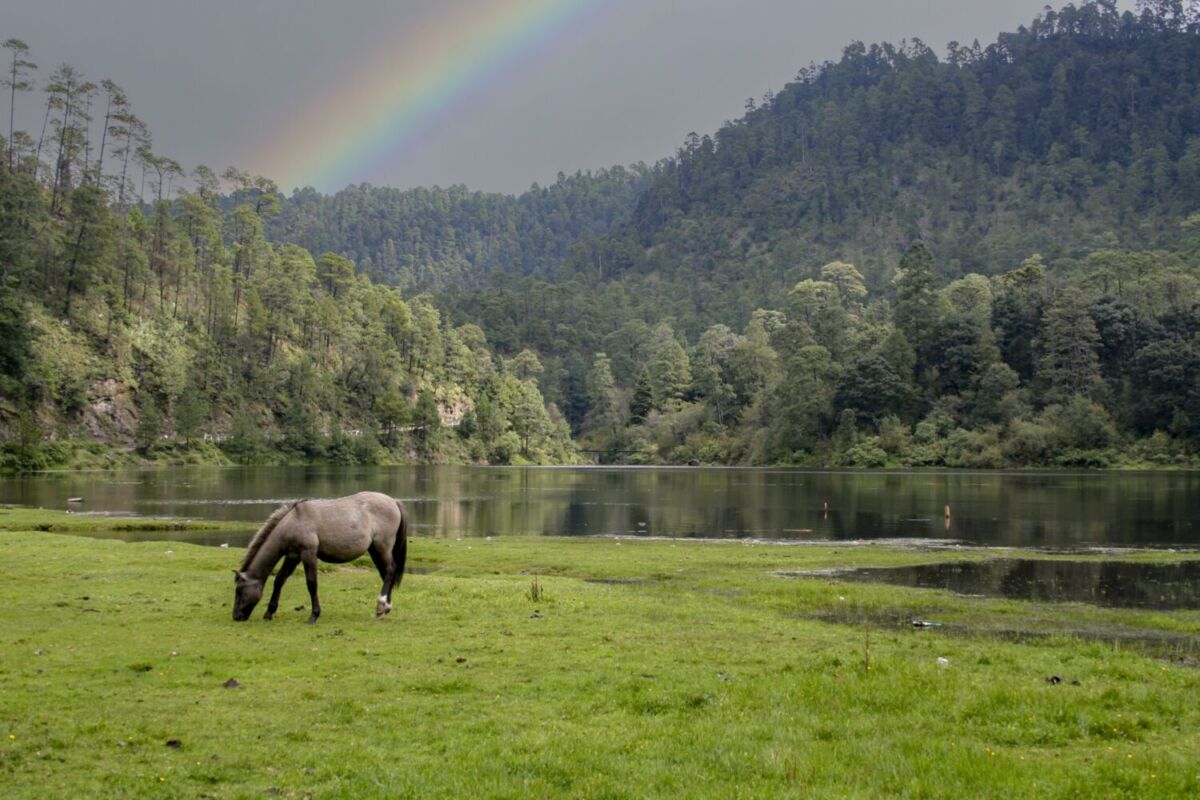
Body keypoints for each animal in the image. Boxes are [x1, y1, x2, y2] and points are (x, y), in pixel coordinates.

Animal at [232, 491, 408, 624]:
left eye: (239, 591)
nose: (236, 616)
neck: (293, 522)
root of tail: (393, 501)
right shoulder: (293, 556)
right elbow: (280, 580)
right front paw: (269, 612)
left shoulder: (308, 553)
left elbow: (311, 584)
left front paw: (314, 615)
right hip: (374, 549)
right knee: (386, 574)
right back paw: (385, 608)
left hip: (381, 546)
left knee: (389, 571)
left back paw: (381, 606)